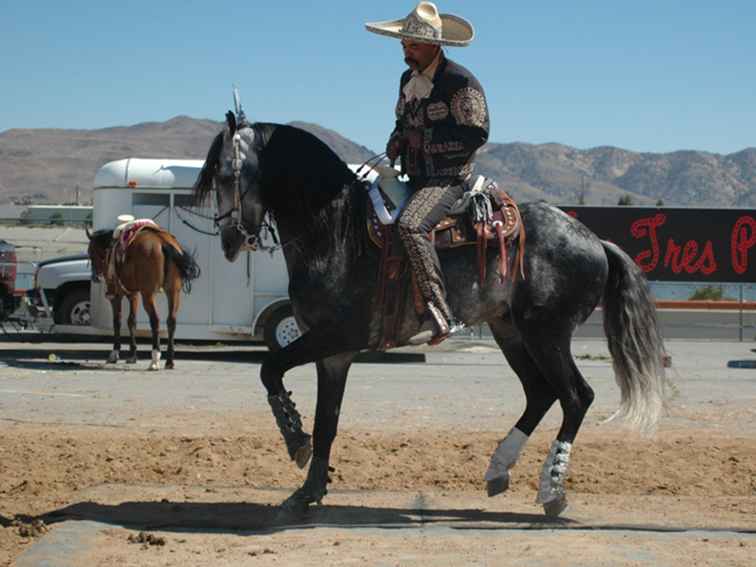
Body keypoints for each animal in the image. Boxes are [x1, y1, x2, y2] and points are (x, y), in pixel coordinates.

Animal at [85, 224, 201, 370]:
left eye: (91, 252)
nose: (95, 276)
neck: (111, 248)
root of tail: (163, 242)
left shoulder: (117, 295)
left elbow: (117, 321)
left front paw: (115, 353)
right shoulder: (134, 294)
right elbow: (131, 321)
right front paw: (133, 355)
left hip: (148, 294)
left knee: (155, 320)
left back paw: (155, 358)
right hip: (173, 292)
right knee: (171, 321)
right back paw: (169, 360)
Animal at [193, 110, 668, 520]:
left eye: (227, 175)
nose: (229, 241)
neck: (336, 231)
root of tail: (594, 240)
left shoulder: (334, 337)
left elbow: (270, 369)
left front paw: (295, 440)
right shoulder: (334, 355)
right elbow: (326, 420)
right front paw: (307, 492)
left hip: (547, 333)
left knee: (575, 396)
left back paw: (551, 490)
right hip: (510, 331)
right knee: (540, 394)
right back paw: (498, 470)